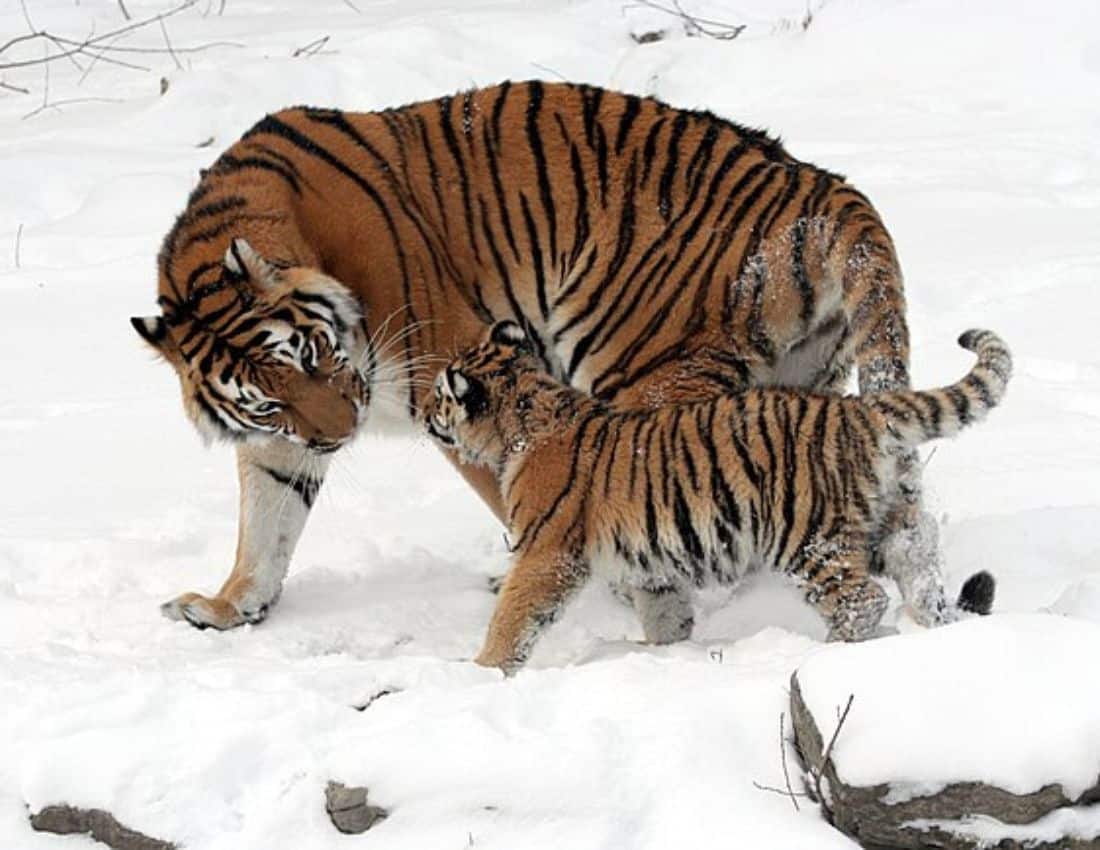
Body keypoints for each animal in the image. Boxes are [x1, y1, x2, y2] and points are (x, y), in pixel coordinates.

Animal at [133, 80, 961, 632]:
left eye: (309, 353)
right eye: (266, 398)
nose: (341, 435)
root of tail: (822, 186)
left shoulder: (452, 372)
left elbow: (522, 495)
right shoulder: (284, 438)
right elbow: (266, 519)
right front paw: (228, 605)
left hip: (642, 367)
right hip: (803, 379)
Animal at [423, 321, 1009, 672]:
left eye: (439, 396)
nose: (426, 414)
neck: (525, 414)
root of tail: (860, 409)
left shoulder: (547, 553)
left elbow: (514, 616)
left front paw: (481, 671)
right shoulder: (651, 564)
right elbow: (665, 612)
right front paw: (662, 652)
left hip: (808, 537)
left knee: (862, 600)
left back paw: (823, 655)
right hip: (888, 523)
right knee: (921, 568)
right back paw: (937, 631)